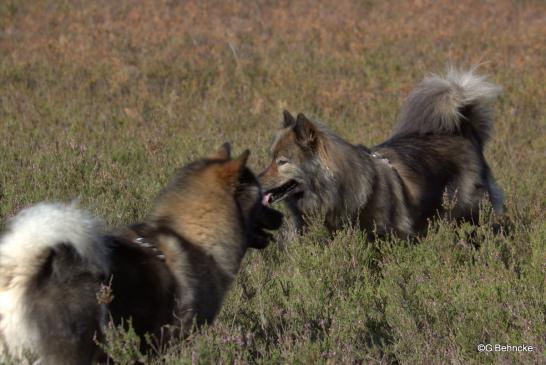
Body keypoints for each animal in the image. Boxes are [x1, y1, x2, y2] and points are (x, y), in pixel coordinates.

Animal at [258, 67, 502, 236]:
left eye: (282, 161)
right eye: (271, 158)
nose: (256, 181)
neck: (334, 189)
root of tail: (464, 133)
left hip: (465, 214)